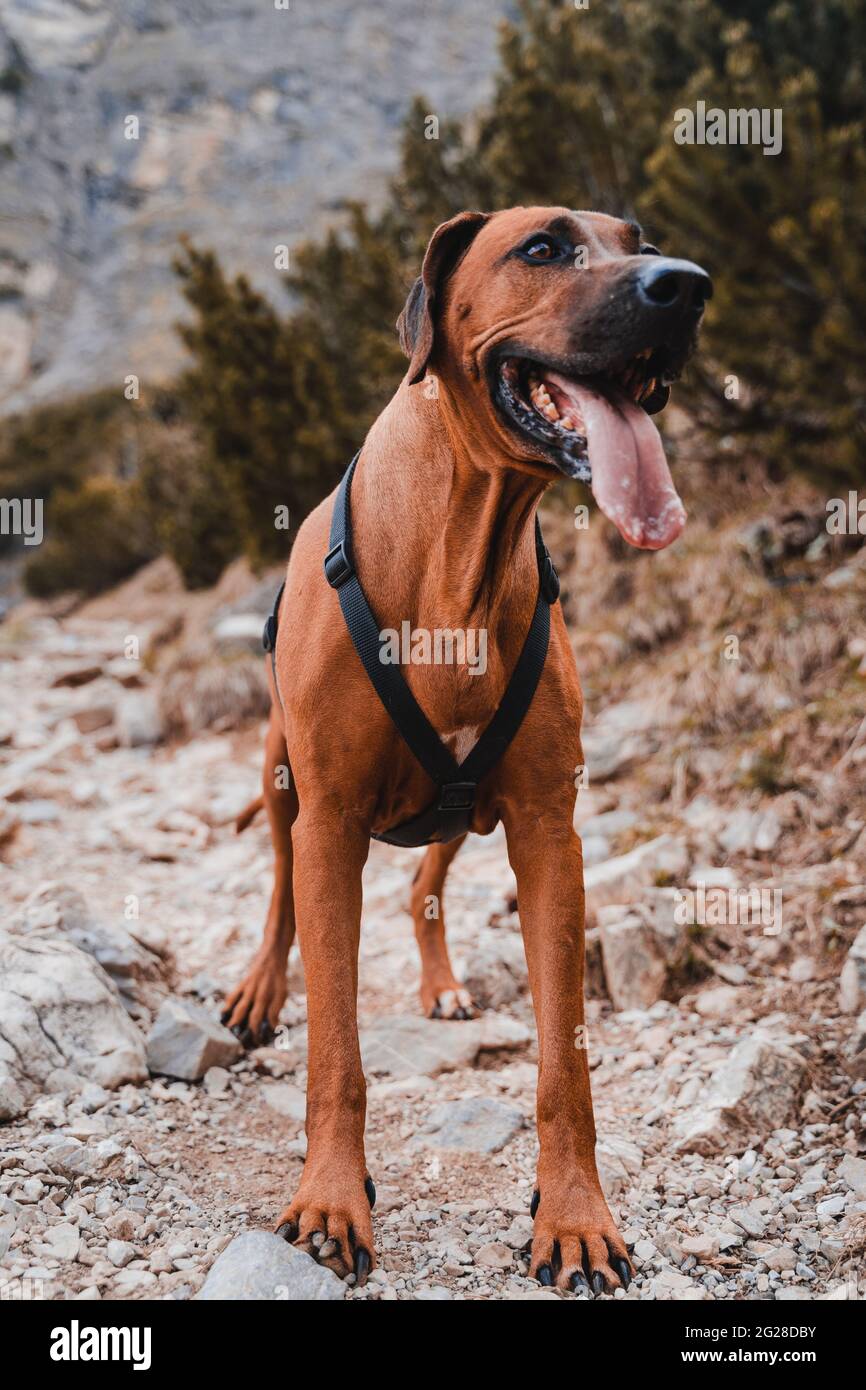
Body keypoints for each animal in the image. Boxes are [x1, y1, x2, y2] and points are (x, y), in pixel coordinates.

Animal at [222, 205, 711, 1289]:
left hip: (455, 810)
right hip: (282, 776)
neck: (460, 541)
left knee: (421, 884)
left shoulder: (546, 828)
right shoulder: (332, 818)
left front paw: (574, 1215)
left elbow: (564, 1061)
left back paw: (443, 984)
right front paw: (330, 1201)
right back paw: (258, 988)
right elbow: (336, 1047)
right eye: (543, 247)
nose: (688, 285)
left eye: (640, 237)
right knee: (278, 887)